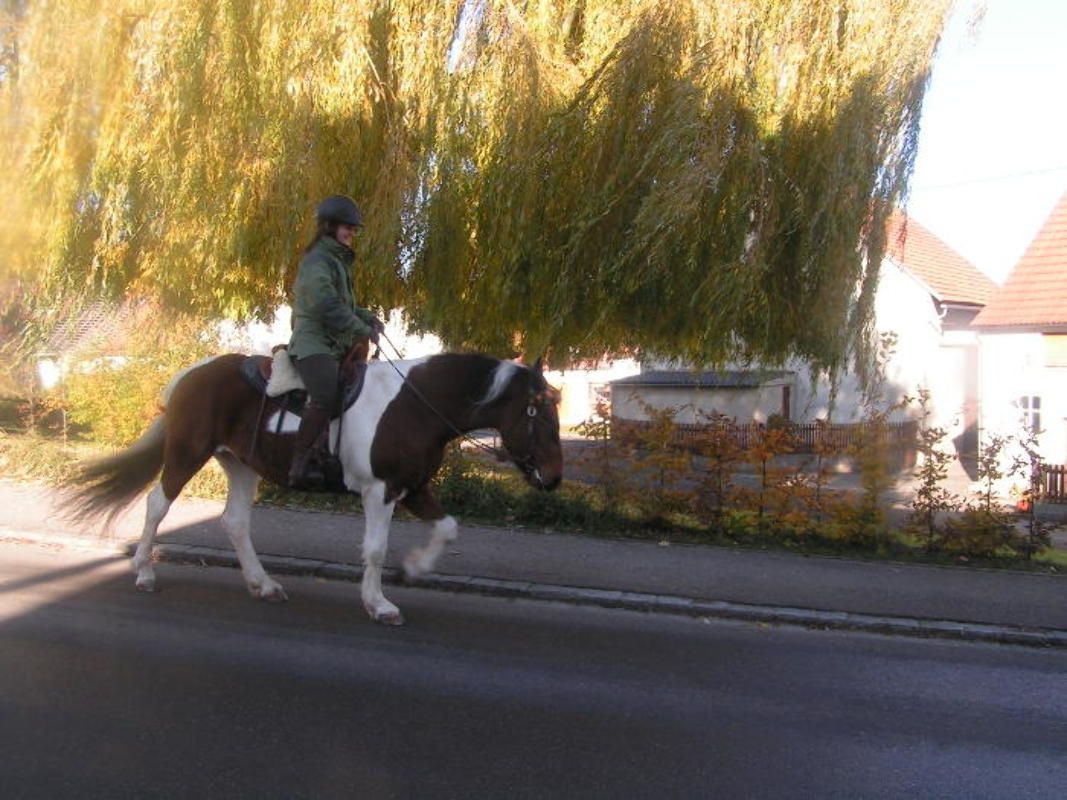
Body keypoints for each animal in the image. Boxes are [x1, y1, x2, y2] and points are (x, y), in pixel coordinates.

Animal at [61, 351, 563, 625]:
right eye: (538, 412)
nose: (555, 477)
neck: (414, 405)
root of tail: (191, 374)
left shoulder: (413, 486)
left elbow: (448, 528)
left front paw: (417, 567)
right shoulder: (381, 490)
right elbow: (375, 549)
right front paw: (379, 604)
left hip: (241, 464)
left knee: (235, 522)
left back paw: (263, 584)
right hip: (188, 451)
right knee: (157, 505)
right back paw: (144, 573)